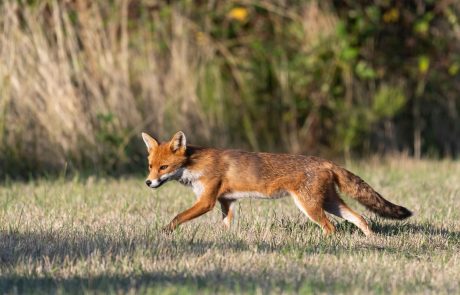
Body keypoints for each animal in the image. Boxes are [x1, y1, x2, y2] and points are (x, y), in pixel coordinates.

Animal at [142, 132, 412, 236]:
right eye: (150, 165)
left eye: (163, 168)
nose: (148, 182)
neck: (196, 164)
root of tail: (325, 161)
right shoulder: (226, 201)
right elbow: (226, 225)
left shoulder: (207, 201)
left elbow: (177, 217)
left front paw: (164, 232)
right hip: (330, 203)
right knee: (361, 218)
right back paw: (371, 240)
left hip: (310, 206)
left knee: (331, 227)